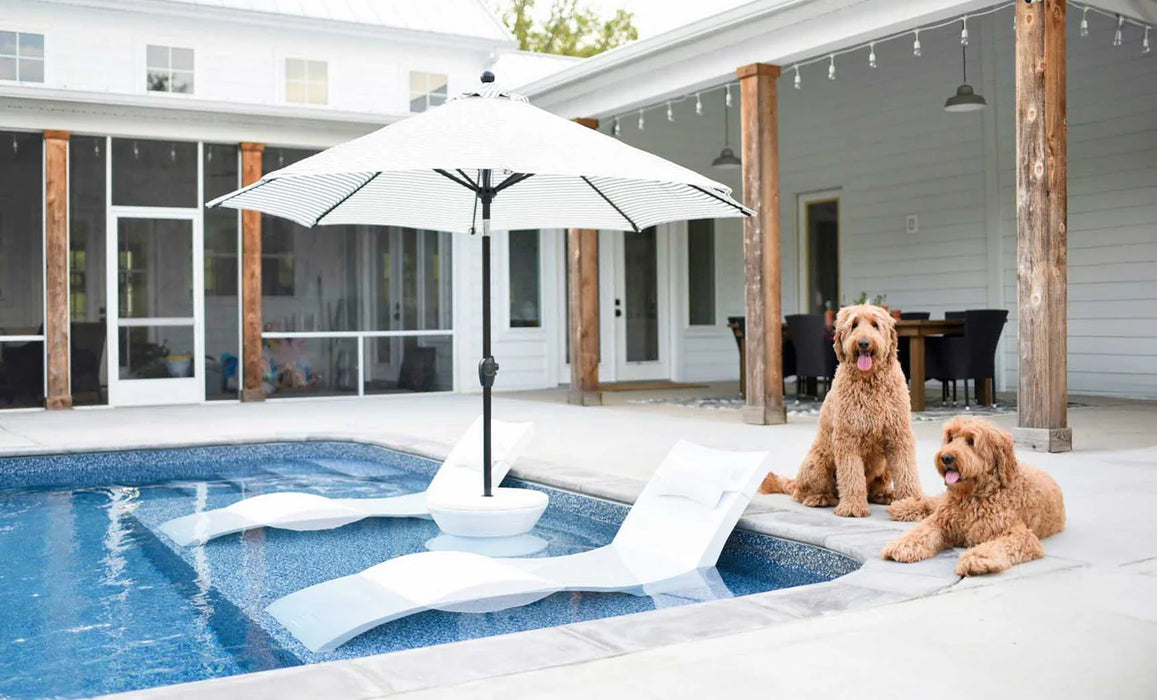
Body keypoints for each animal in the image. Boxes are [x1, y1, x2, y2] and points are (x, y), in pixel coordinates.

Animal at [758, 305, 920, 518]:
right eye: (854, 325)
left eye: (875, 325)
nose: (863, 343)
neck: (869, 381)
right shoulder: (847, 438)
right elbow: (851, 475)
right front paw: (852, 507)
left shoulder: (898, 435)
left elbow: (906, 471)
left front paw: (911, 505)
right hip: (817, 462)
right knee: (804, 493)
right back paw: (820, 498)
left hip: (884, 464)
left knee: (874, 487)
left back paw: (884, 494)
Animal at [883, 416, 1064, 576]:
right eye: (950, 437)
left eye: (971, 441)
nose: (946, 457)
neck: (973, 497)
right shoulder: (940, 521)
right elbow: (920, 531)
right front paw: (903, 544)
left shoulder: (1020, 535)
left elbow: (996, 545)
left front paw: (977, 558)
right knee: (932, 502)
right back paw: (902, 506)